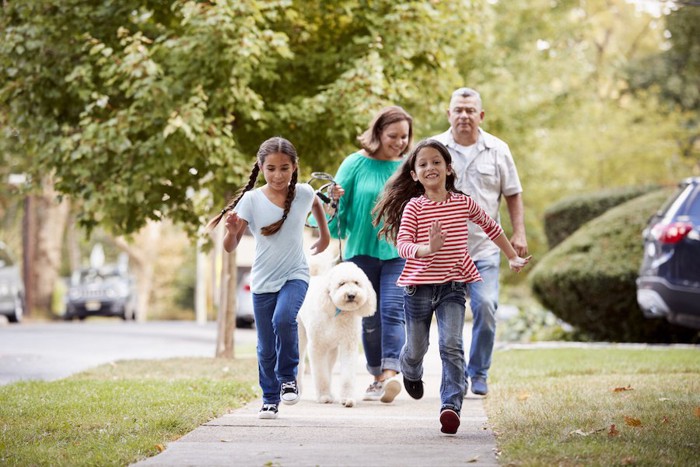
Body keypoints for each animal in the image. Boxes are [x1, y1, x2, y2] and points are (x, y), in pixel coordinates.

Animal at [296, 262, 374, 408]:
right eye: (341, 283)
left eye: (357, 283)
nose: (351, 295)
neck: (338, 311)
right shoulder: (317, 346)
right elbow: (321, 374)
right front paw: (324, 396)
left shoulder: (348, 345)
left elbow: (347, 375)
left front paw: (347, 398)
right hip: (299, 335)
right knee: (299, 363)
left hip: (332, 349)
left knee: (329, 367)